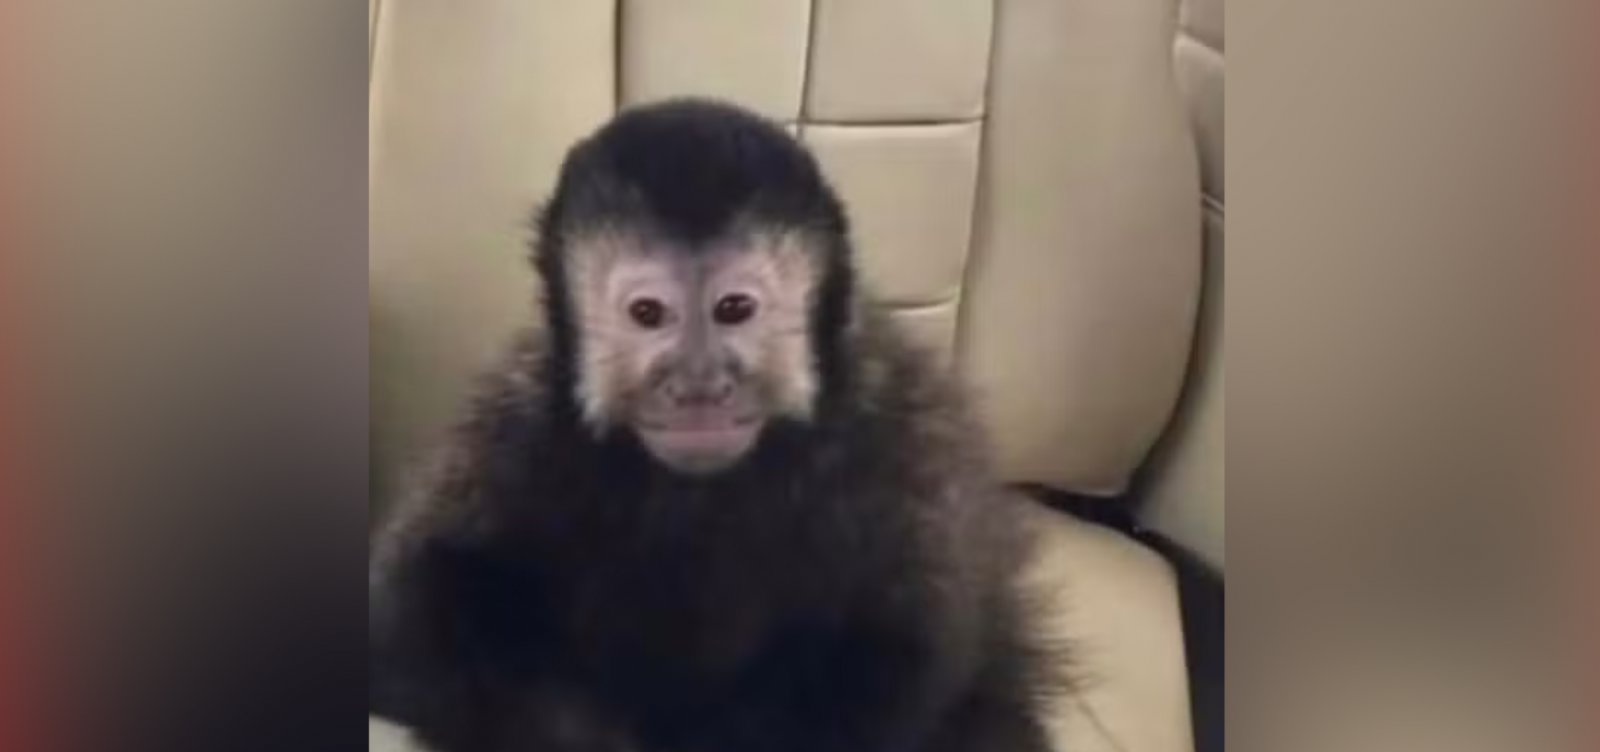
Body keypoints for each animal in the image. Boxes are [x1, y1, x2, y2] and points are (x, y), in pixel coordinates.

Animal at [369, 99, 1063, 752]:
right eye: (649, 314)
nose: (698, 386)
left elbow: (906, 648)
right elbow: (414, 601)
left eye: (734, 309)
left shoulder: (899, 433)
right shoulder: (518, 423)